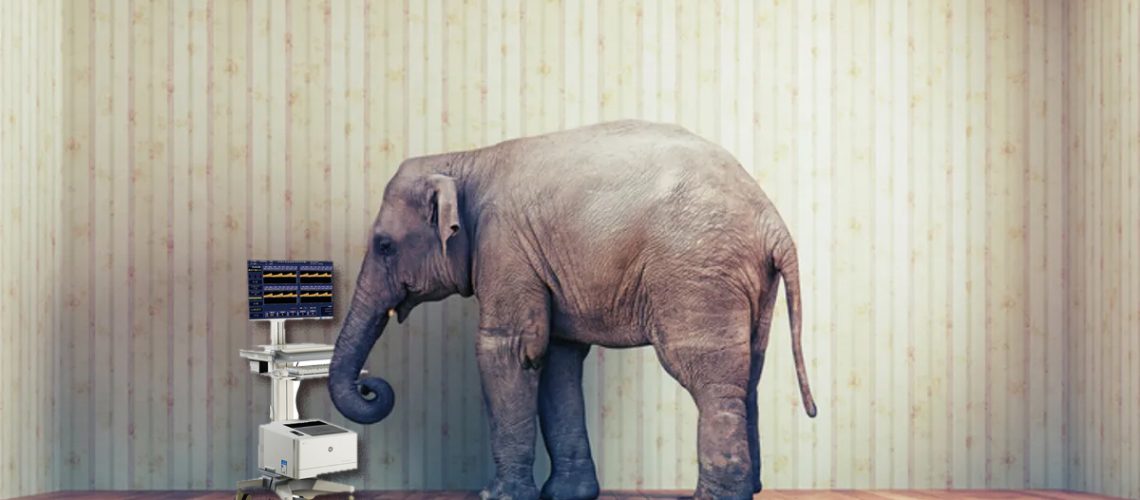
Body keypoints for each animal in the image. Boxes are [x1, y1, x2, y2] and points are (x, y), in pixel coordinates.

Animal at [327, 120, 817, 500]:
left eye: (384, 246)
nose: (372, 388)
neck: (465, 159)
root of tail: (772, 220)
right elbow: (556, 359)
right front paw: (566, 494)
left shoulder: (505, 246)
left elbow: (508, 350)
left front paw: (498, 496)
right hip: (750, 282)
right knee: (749, 372)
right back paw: (750, 488)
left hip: (696, 270)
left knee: (708, 377)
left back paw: (714, 496)